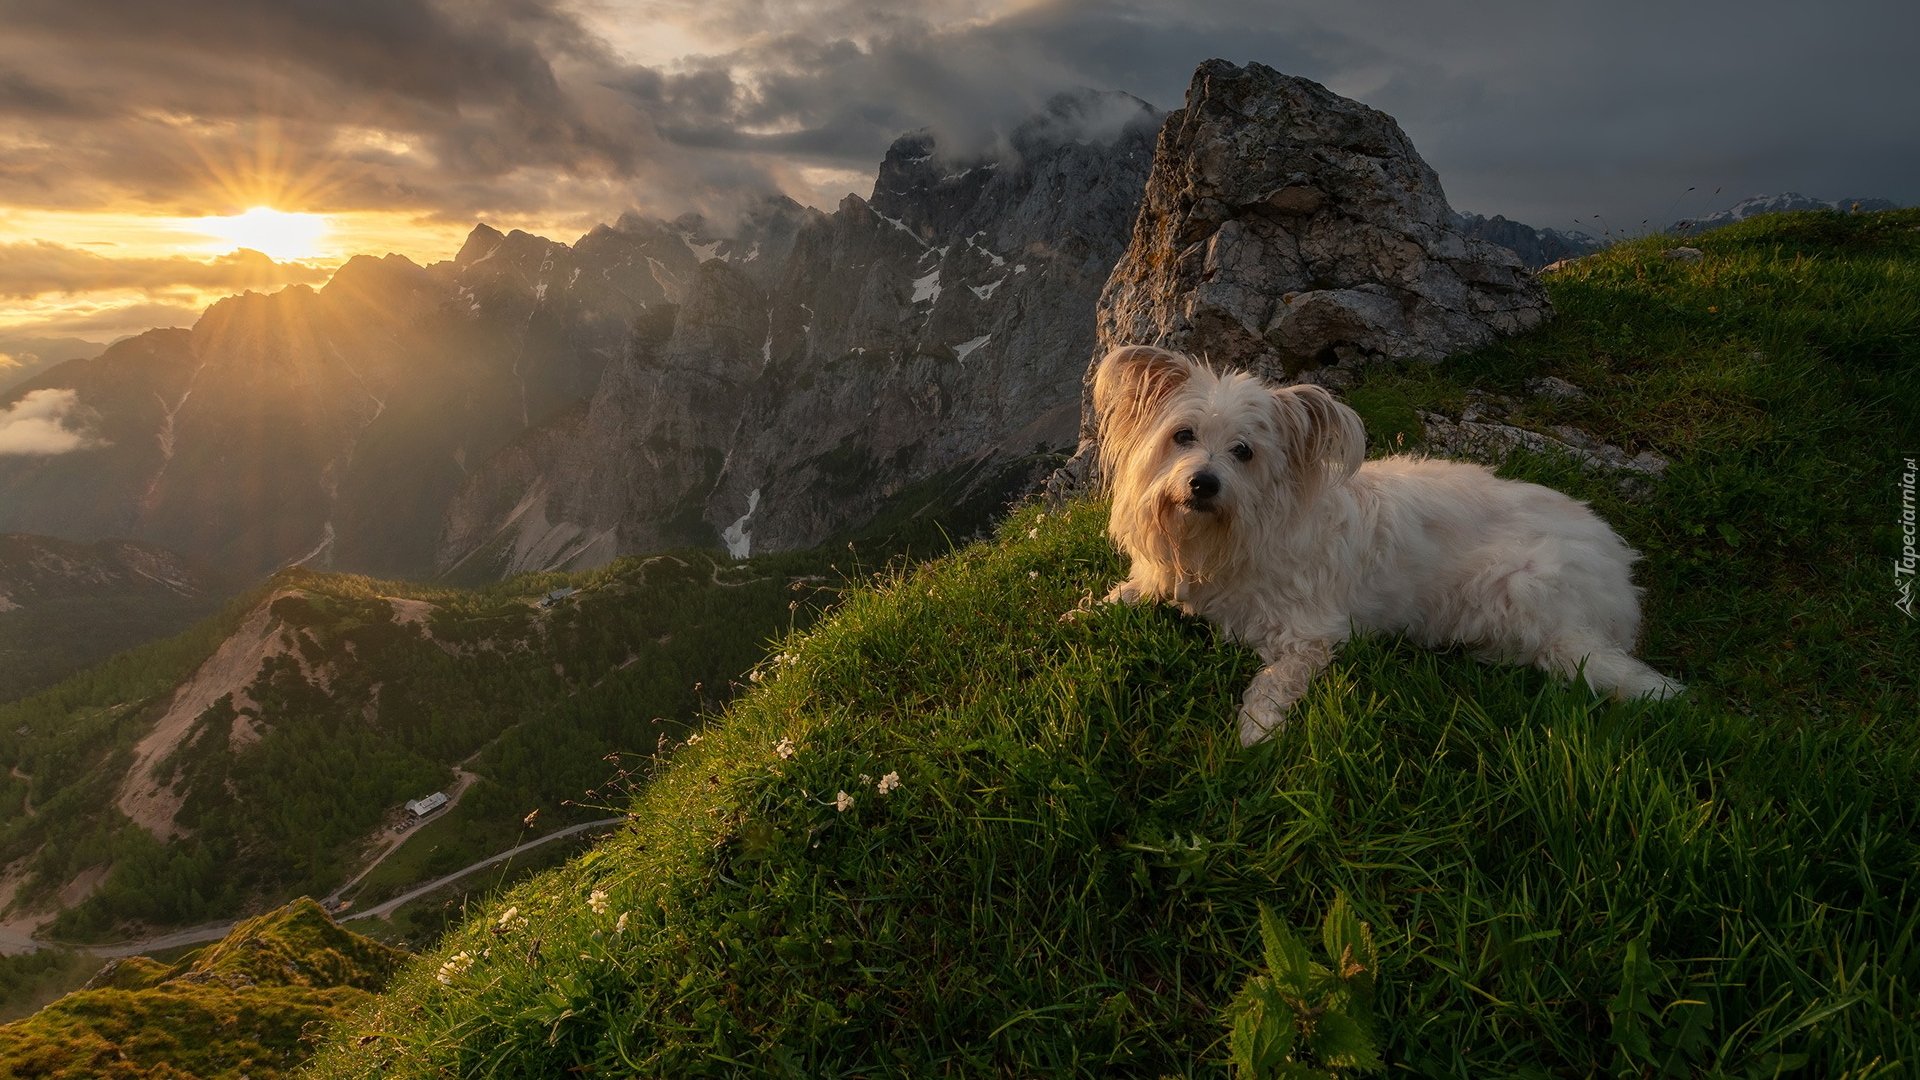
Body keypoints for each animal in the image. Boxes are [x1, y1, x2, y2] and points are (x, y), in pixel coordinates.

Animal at [1098, 343, 1681, 737]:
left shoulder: (1309, 636)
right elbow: (1122, 594)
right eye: (1183, 435)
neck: (1225, 540)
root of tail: (1620, 575)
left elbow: (1275, 681)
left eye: (1244, 451)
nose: (1203, 483)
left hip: (1515, 590)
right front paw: (1087, 612)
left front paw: (1255, 733)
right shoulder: (1163, 576)